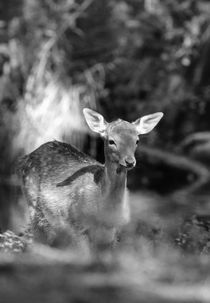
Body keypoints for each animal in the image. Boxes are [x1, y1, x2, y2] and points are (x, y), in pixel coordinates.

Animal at [17, 108, 163, 252]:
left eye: (137, 140)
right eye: (111, 141)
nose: (130, 161)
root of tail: (26, 156)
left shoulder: (113, 234)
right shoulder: (77, 224)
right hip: (32, 199)